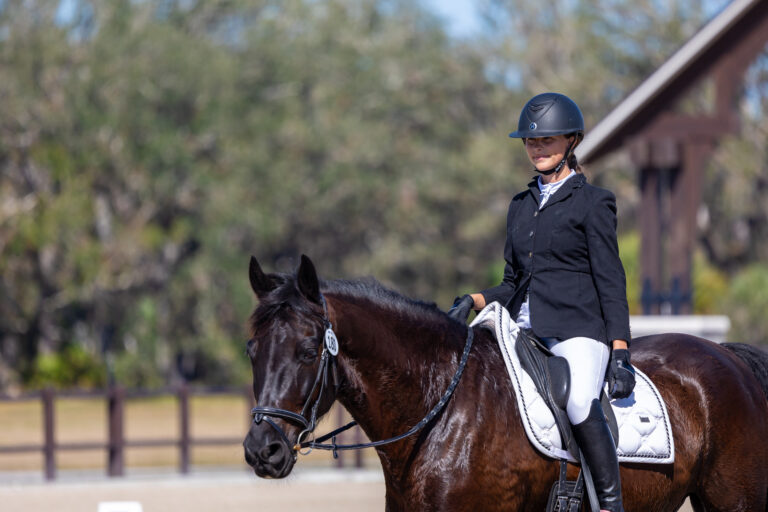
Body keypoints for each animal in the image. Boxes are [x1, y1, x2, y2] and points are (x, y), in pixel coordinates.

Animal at [242, 255, 768, 511]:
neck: (439, 410)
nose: (261, 450)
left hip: (735, 502)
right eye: (252, 350)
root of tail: (729, 357)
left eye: (308, 350)